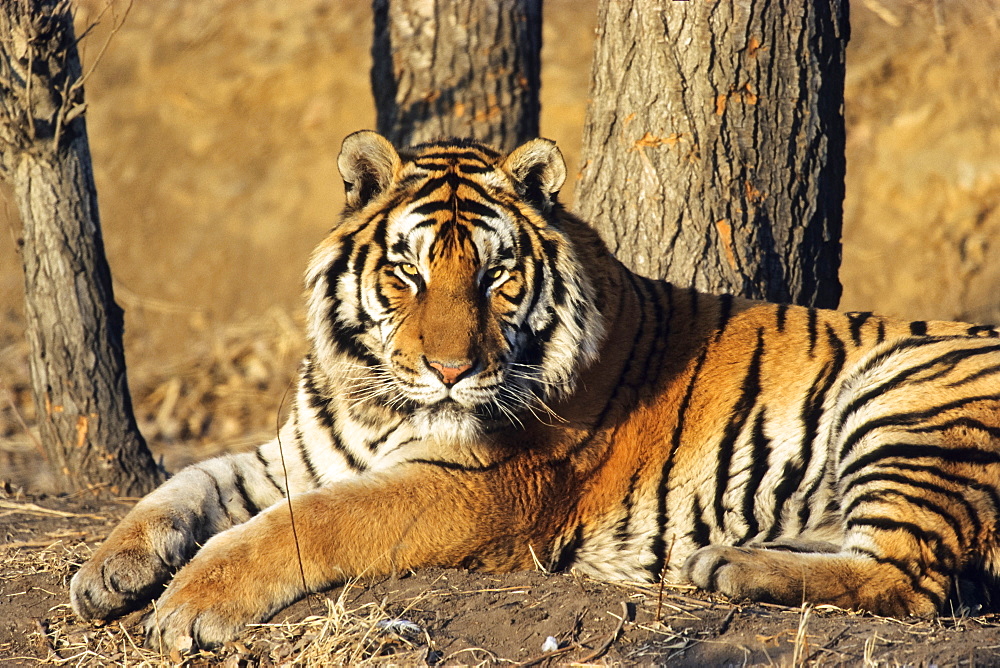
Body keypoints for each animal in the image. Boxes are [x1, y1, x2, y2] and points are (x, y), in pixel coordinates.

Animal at [70, 130, 1000, 648]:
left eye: (494, 277)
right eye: (409, 273)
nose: (449, 371)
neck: (374, 399)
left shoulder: (471, 488)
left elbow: (303, 525)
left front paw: (189, 606)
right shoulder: (296, 452)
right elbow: (186, 485)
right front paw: (105, 571)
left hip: (902, 400)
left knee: (915, 580)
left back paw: (731, 566)